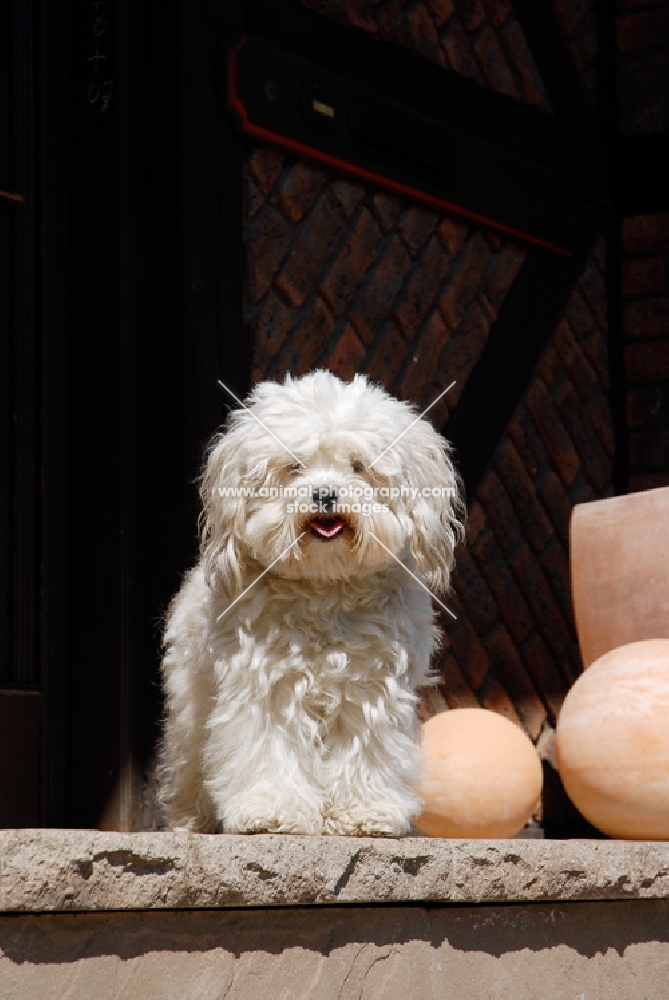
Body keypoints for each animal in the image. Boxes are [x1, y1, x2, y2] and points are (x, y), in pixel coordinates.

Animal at [159, 368, 462, 836]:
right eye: (293, 467)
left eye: (357, 466)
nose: (324, 494)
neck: (324, 587)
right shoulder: (264, 685)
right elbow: (267, 749)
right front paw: (271, 810)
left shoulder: (370, 688)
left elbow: (365, 747)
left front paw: (365, 811)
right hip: (192, 698)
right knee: (190, 756)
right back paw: (192, 818)